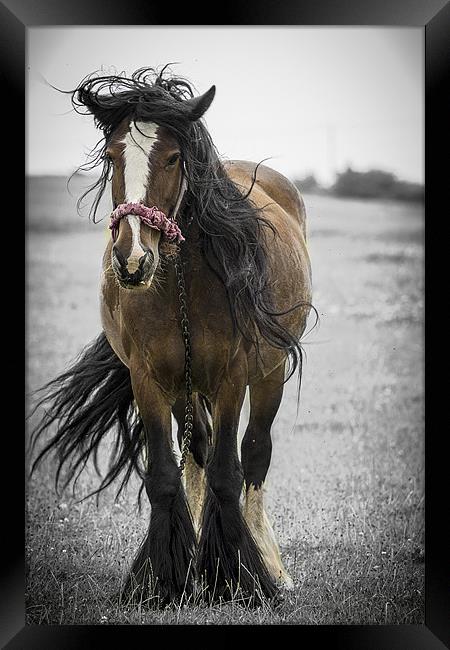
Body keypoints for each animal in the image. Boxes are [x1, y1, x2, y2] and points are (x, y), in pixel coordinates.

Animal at [30, 68, 312, 604]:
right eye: (112, 155)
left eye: (175, 157)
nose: (132, 259)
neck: (181, 280)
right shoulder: (149, 379)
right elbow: (165, 473)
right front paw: (165, 580)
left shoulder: (232, 378)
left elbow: (228, 472)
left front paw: (239, 579)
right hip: (187, 387)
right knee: (198, 448)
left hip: (269, 375)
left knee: (255, 453)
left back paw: (272, 566)